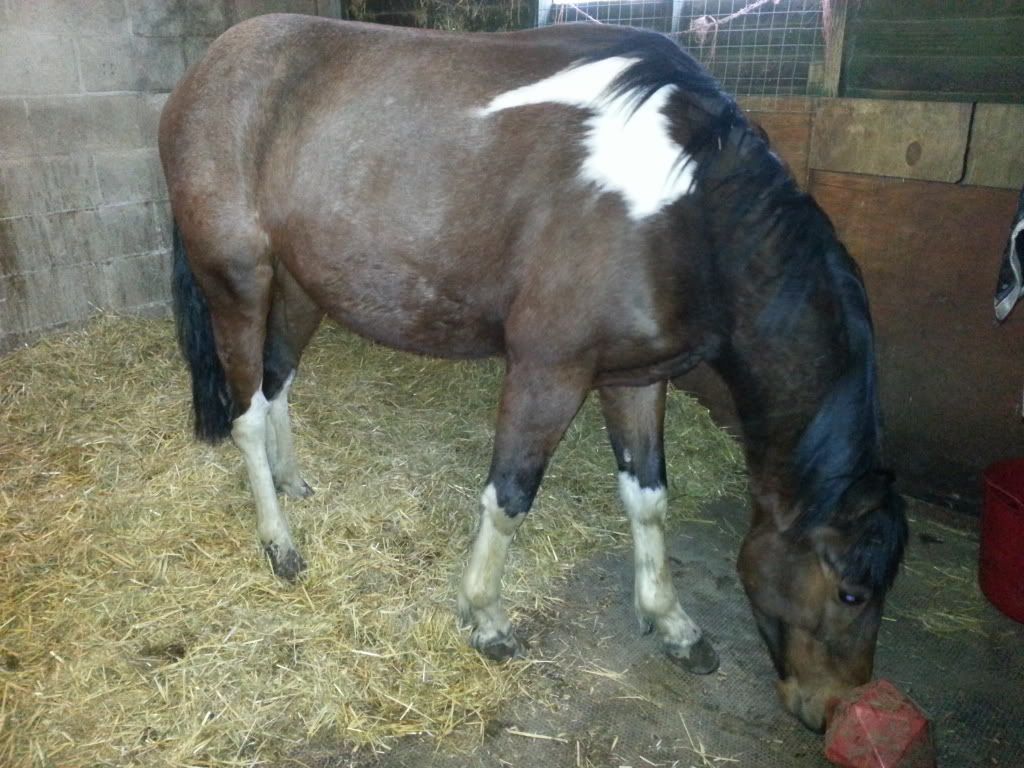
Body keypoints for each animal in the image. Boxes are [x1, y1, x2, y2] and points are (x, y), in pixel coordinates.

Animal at [159, 15, 908, 732]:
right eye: (851, 590)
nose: (833, 709)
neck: (685, 211)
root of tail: (200, 75)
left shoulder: (636, 378)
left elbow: (648, 498)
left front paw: (671, 622)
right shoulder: (549, 371)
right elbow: (510, 495)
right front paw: (485, 615)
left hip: (300, 287)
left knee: (277, 382)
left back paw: (291, 482)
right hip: (239, 283)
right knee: (247, 413)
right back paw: (279, 543)